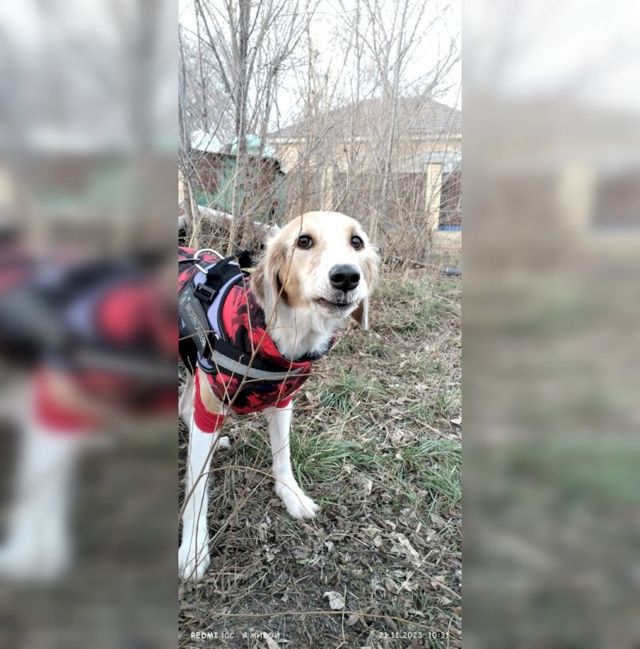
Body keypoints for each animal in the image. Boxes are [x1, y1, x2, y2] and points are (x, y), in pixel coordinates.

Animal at [178, 211, 379, 581]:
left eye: (356, 241)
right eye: (304, 241)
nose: (346, 275)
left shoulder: (282, 402)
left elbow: (283, 455)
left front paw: (291, 494)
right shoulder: (210, 406)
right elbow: (197, 489)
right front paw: (194, 548)